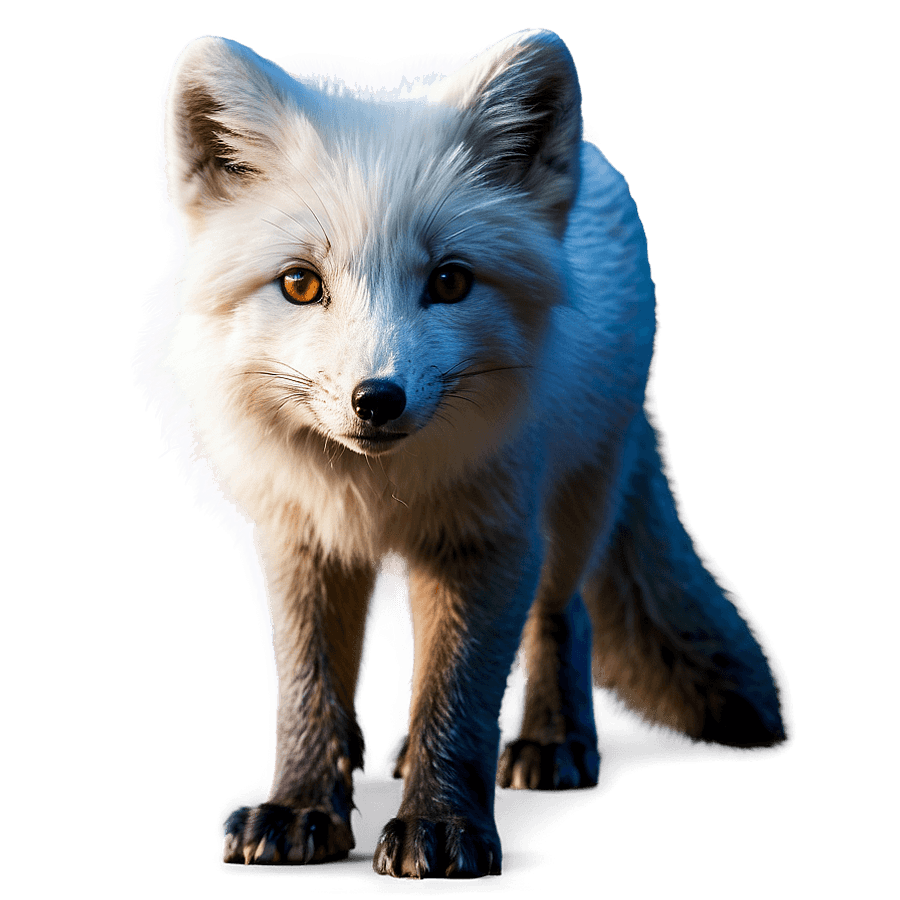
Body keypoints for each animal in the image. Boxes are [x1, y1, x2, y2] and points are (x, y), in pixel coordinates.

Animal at [135, 28, 787, 879]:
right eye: (300, 284)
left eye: (449, 282)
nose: (376, 400)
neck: (372, 491)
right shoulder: (296, 537)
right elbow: (309, 685)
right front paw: (302, 805)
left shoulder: (485, 539)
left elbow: (457, 698)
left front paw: (440, 823)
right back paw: (374, 752)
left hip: (576, 499)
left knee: (561, 614)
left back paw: (550, 740)